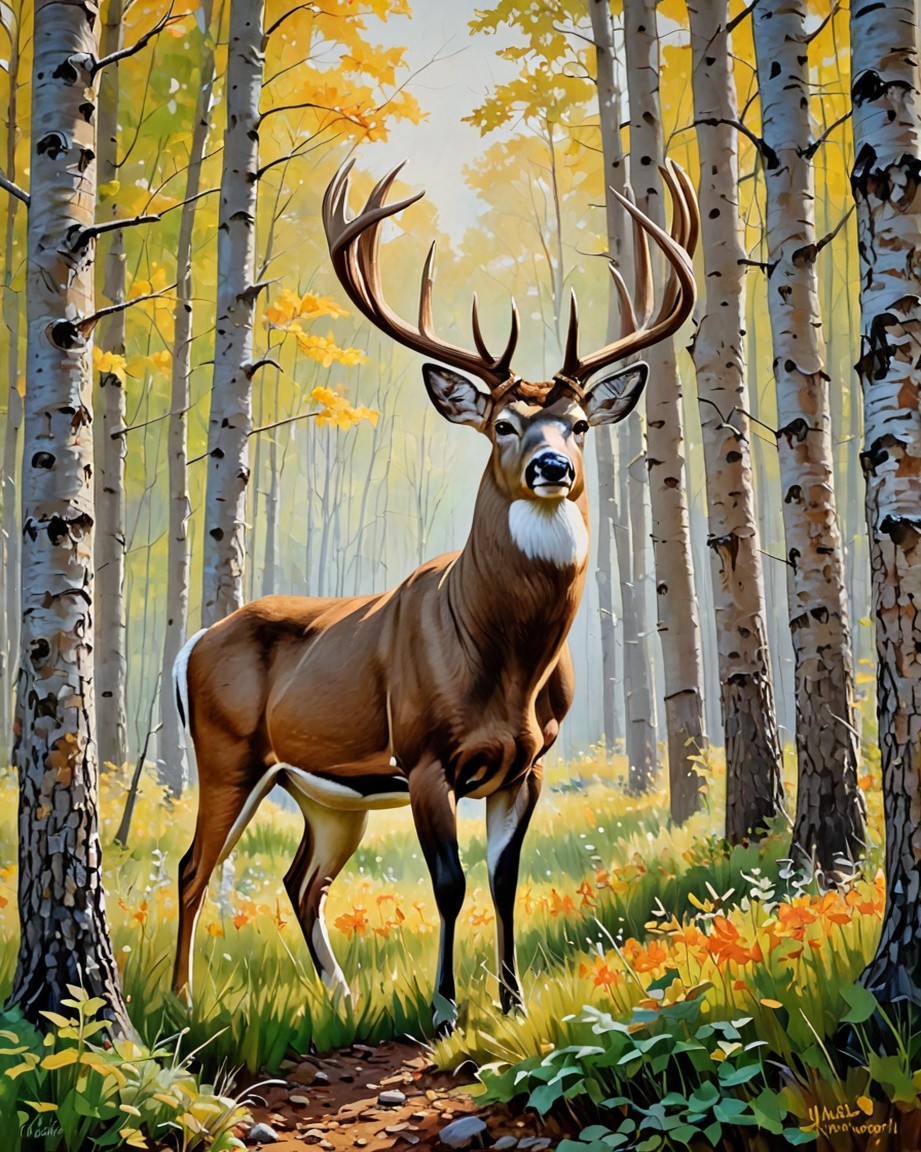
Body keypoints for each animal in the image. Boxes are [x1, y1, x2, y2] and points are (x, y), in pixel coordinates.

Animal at [171, 159, 698, 1034]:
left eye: (580, 423)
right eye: (502, 424)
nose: (551, 467)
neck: (505, 665)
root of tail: (191, 644)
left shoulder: (527, 765)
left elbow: (503, 880)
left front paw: (511, 1002)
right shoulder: (422, 756)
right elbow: (448, 883)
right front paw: (446, 1008)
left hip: (327, 794)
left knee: (300, 880)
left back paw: (343, 996)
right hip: (229, 754)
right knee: (193, 866)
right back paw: (179, 1003)